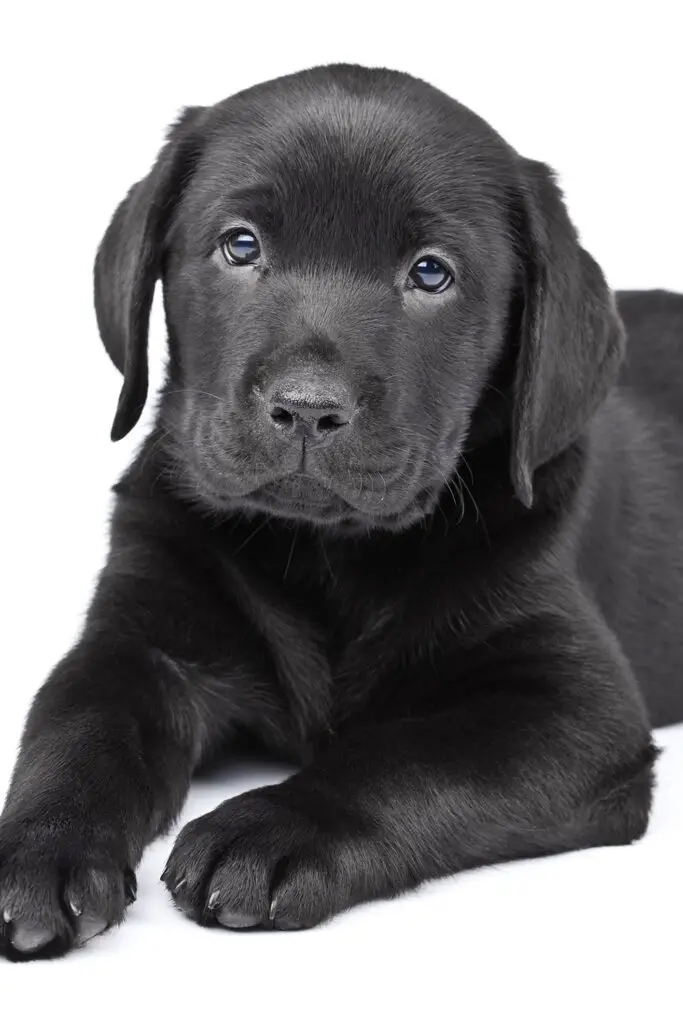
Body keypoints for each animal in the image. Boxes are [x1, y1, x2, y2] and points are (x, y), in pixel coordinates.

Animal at [1, 64, 683, 958]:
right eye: (240, 245)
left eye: (430, 273)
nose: (307, 408)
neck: (327, 551)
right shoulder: (139, 638)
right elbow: (75, 728)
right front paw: (41, 850)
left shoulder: (572, 707)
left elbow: (408, 758)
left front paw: (271, 829)